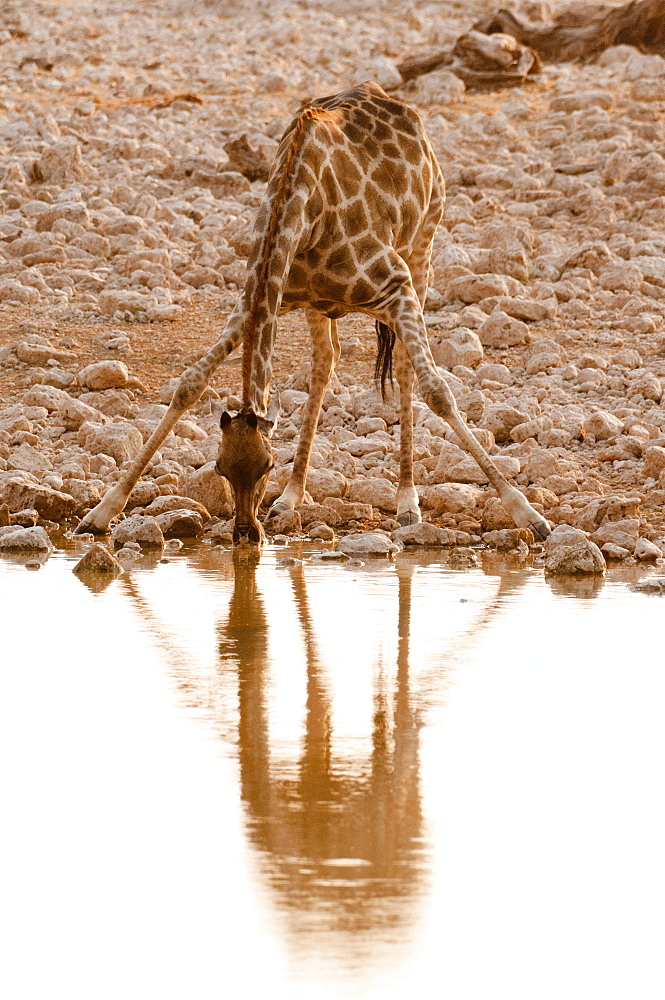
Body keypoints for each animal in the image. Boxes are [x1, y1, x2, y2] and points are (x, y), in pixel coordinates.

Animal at [76, 82, 548, 544]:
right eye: (220, 467)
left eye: (266, 465)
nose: (246, 533)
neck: (301, 211)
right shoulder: (259, 296)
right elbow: (189, 383)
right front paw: (100, 513)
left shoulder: (396, 287)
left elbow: (438, 390)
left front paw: (527, 514)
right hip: (320, 306)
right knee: (325, 363)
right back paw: (292, 496)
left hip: (422, 246)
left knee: (403, 366)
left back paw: (407, 502)